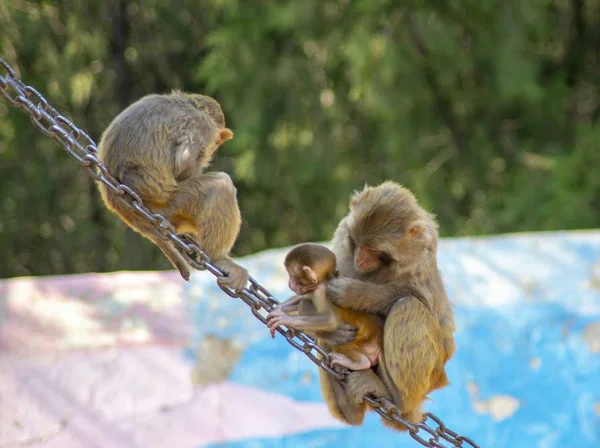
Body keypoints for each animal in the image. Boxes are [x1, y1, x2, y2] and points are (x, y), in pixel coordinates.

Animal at [97, 91, 247, 290]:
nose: (213, 149)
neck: (190, 104)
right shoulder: (202, 126)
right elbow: (183, 162)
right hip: (172, 205)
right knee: (221, 186)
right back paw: (217, 258)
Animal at [266, 243, 382, 372]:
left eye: (292, 275)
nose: (290, 284)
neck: (322, 281)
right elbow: (303, 298)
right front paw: (278, 309)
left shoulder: (321, 293)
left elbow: (330, 319)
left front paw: (285, 319)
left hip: (362, 340)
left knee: (306, 304)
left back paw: (360, 362)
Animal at [314, 181, 454, 430]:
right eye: (357, 242)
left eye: (375, 250)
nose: (360, 259)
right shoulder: (342, 234)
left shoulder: (423, 256)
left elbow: (424, 302)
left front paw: (354, 293)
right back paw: (348, 406)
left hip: (432, 375)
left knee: (408, 305)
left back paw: (396, 400)